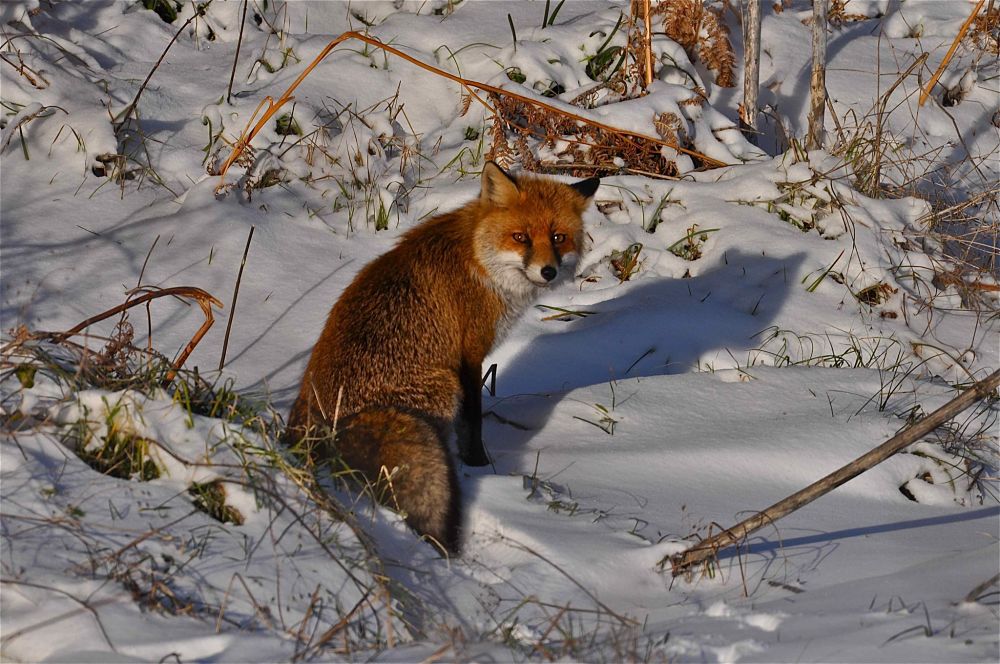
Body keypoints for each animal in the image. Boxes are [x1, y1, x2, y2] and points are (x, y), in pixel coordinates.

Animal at [286, 162, 596, 556]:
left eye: (558, 238)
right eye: (521, 237)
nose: (548, 272)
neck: (479, 260)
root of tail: (316, 430)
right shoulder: (470, 356)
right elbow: (472, 422)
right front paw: (479, 466)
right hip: (444, 386)